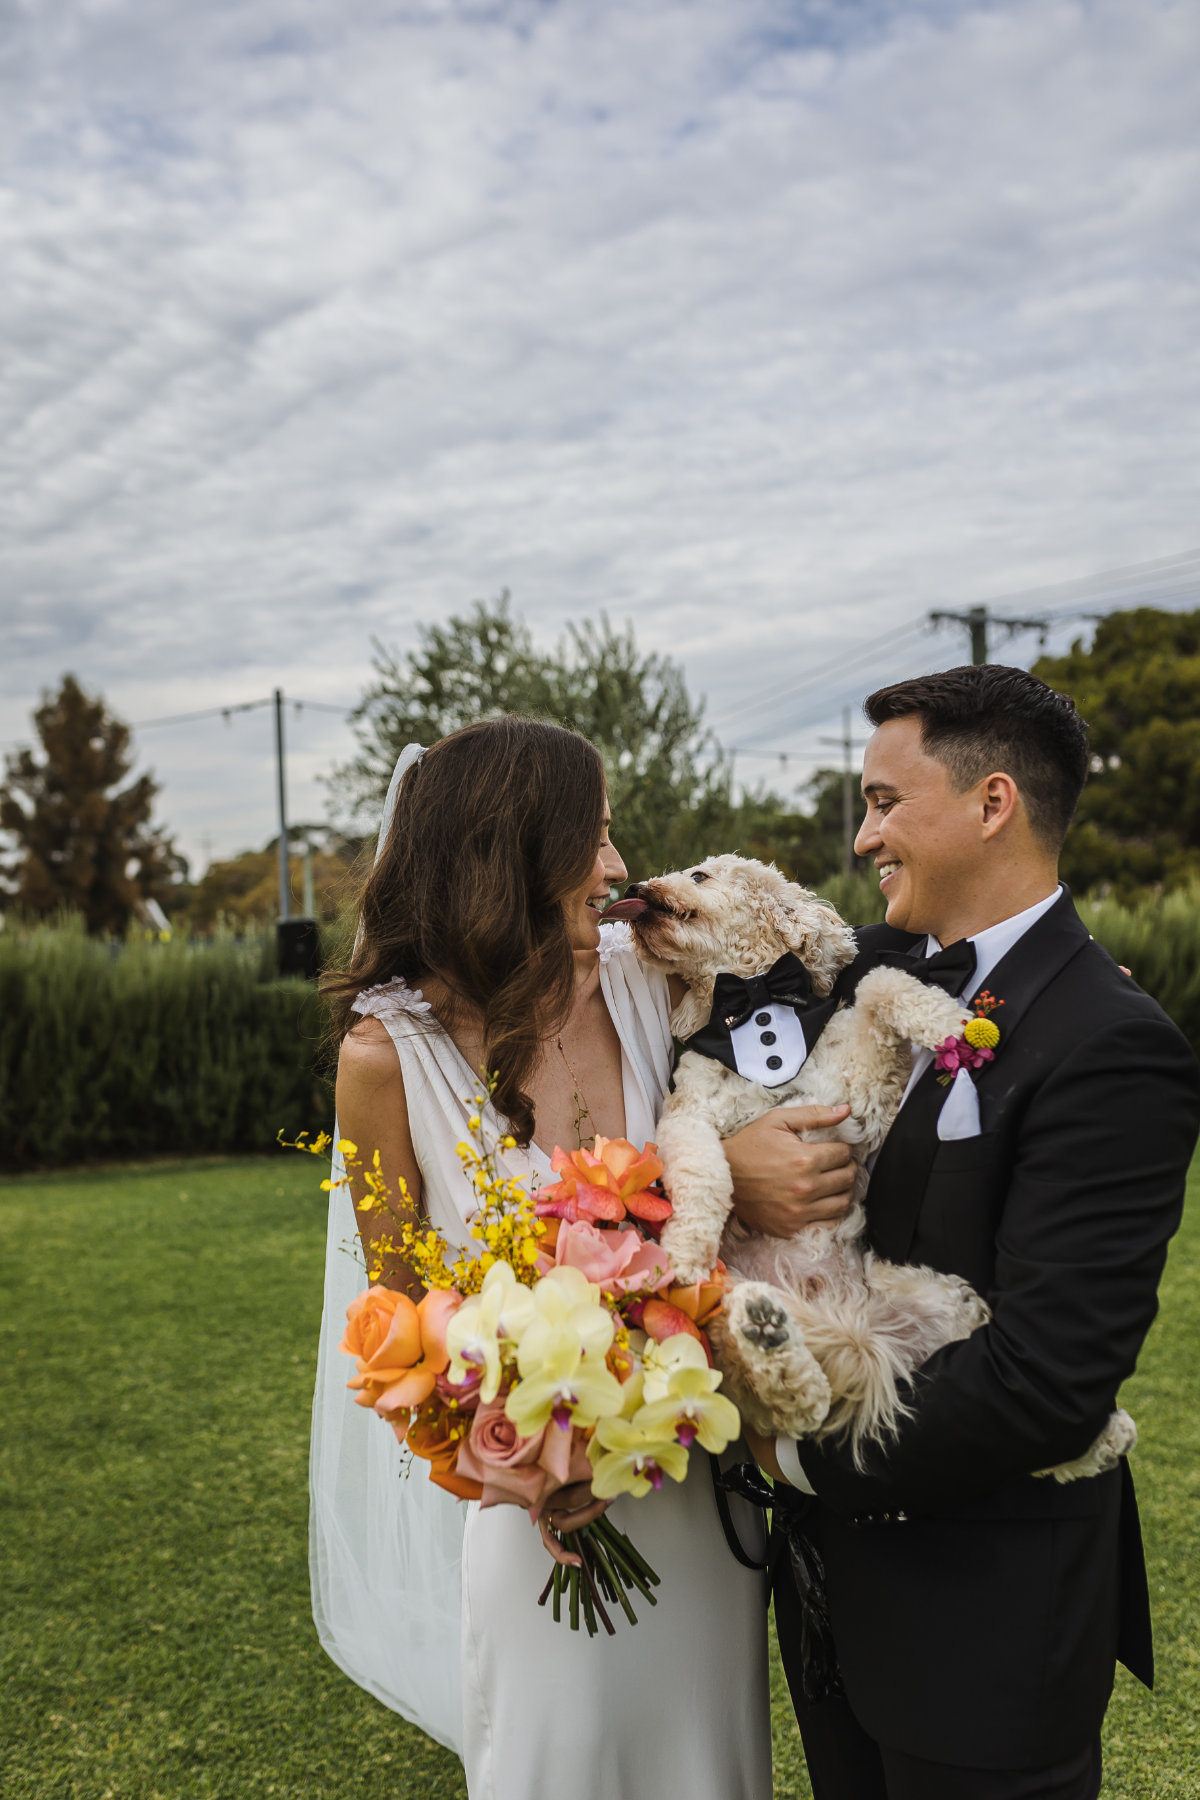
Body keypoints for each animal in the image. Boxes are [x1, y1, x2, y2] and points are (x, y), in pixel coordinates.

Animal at [611, 849, 1137, 1483]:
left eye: (699, 876)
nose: (639, 885)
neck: (757, 1004)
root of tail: (855, 1330)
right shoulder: (685, 1119)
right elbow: (703, 1172)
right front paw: (687, 1249)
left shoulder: (860, 1091)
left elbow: (879, 985)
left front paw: (949, 1023)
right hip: (717, 1320)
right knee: (798, 1407)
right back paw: (769, 1338)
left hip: (940, 1300)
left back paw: (1105, 1438)